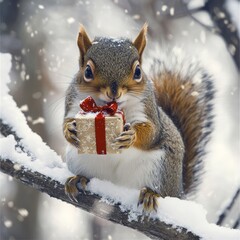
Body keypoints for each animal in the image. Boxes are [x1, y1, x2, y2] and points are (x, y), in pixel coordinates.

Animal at [62, 23, 215, 212]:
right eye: (88, 71)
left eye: (137, 72)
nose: (114, 93)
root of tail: (179, 192)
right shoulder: (72, 103)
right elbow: (65, 122)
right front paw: (70, 130)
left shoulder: (147, 109)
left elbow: (151, 132)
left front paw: (131, 136)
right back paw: (79, 179)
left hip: (160, 169)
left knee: (161, 191)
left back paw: (151, 194)